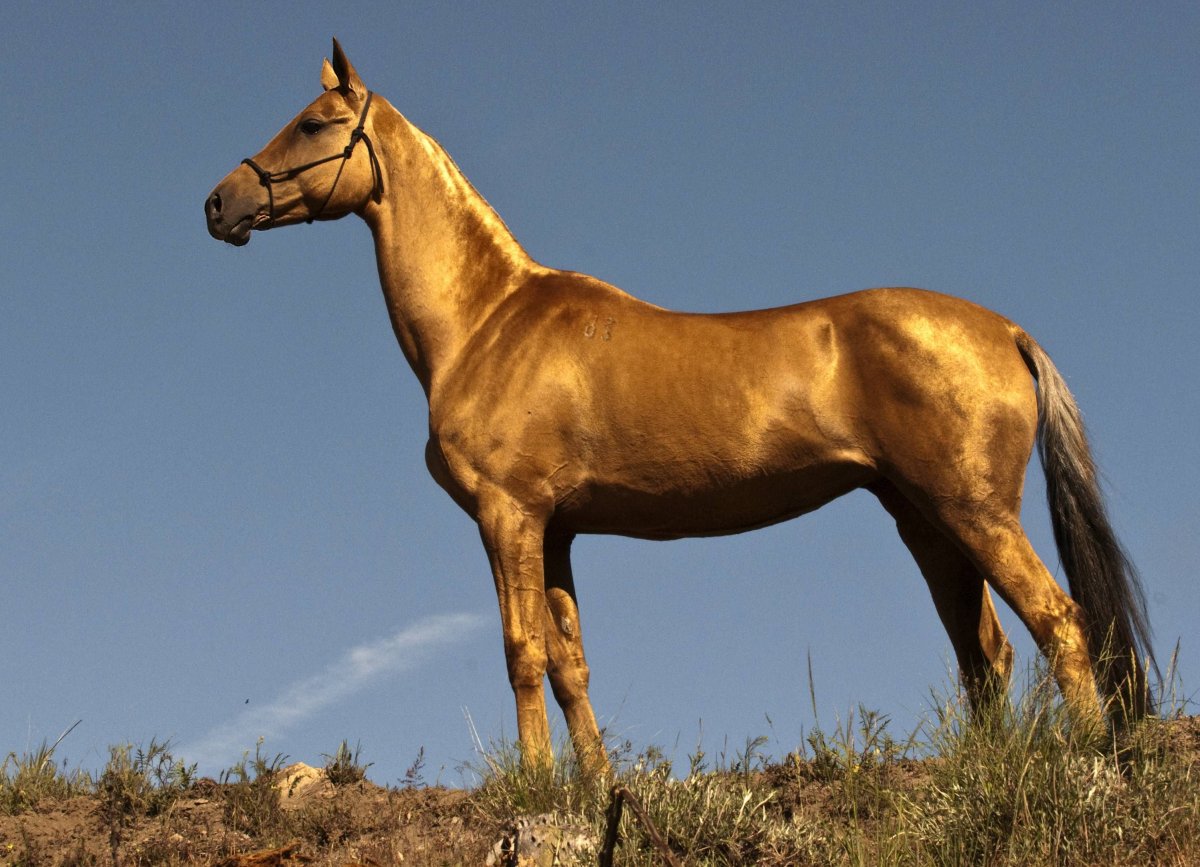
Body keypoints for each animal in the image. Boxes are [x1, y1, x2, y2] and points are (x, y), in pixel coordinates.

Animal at [206, 40, 1152, 768]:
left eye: (316, 123)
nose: (221, 202)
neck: (487, 321)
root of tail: (1007, 330)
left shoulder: (508, 515)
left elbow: (521, 651)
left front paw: (536, 784)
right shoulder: (557, 528)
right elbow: (570, 662)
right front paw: (592, 786)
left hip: (973, 511)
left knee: (1059, 623)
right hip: (925, 517)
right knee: (983, 651)